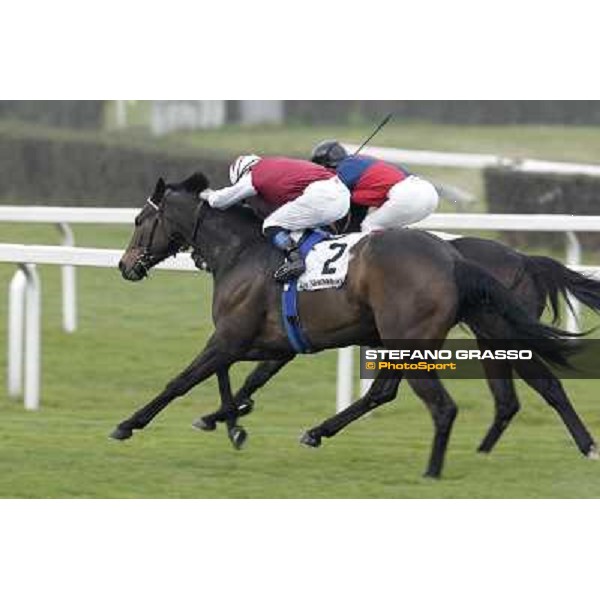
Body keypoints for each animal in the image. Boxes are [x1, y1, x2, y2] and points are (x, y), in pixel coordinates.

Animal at [115, 172, 584, 478]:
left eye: (139, 221)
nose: (125, 266)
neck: (242, 251)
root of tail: (455, 260)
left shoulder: (231, 336)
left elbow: (184, 380)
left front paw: (129, 424)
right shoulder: (271, 342)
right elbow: (240, 379)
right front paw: (230, 422)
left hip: (426, 340)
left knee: (448, 402)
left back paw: (435, 468)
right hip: (466, 336)